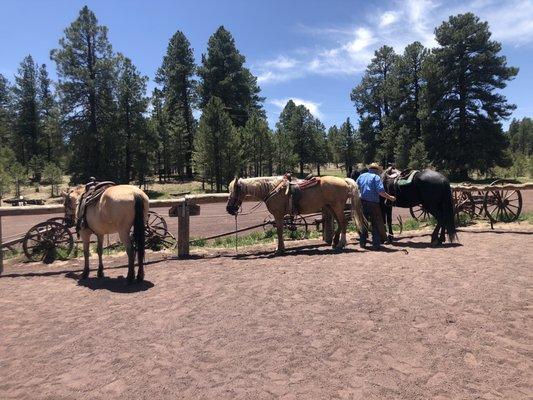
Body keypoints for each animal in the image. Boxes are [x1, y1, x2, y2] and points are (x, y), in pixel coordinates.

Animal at [224, 177, 366, 255]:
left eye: (234, 191)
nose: (229, 209)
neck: (272, 189)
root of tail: (344, 180)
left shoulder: (278, 214)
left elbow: (279, 231)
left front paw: (279, 249)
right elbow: (280, 231)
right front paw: (281, 248)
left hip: (336, 207)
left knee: (343, 222)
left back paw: (341, 243)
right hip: (331, 207)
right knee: (340, 223)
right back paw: (335, 243)